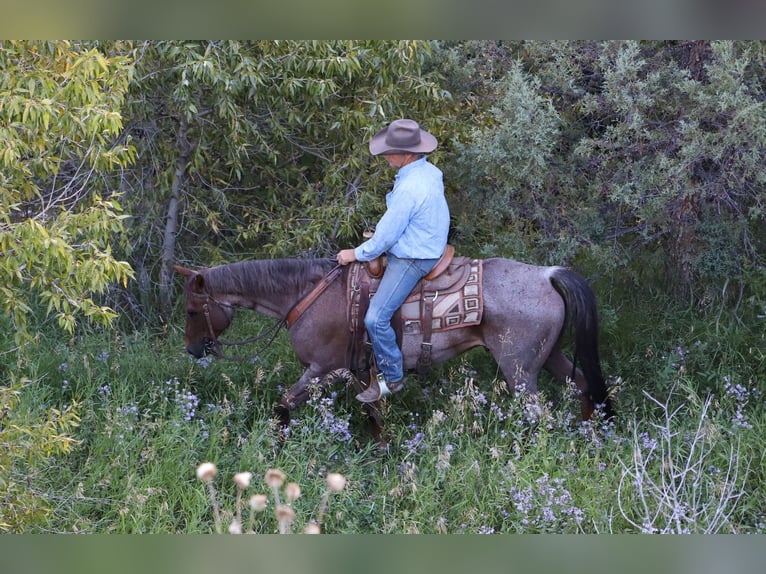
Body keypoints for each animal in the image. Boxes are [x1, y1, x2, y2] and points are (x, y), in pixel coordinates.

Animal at [172, 258, 612, 446]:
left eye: (192, 310)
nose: (192, 349)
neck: (307, 294)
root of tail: (547, 274)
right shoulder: (356, 371)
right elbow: (374, 415)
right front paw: (384, 452)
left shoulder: (322, 369)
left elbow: (283, 405)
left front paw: (273, 448)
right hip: (549, 357)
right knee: (583, 387)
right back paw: (592, 438)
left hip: (519, 369)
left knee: (541, 415)